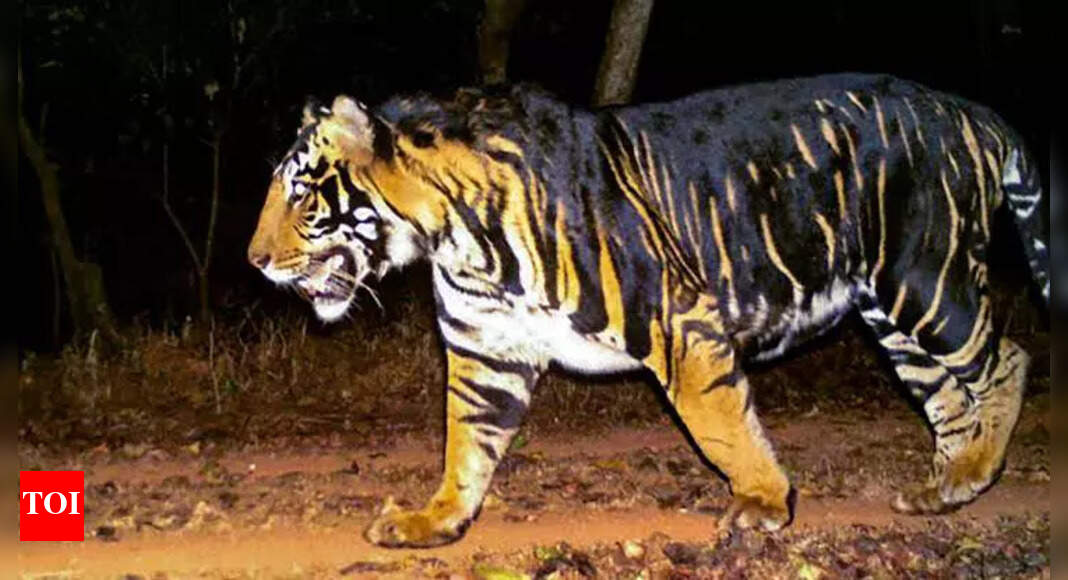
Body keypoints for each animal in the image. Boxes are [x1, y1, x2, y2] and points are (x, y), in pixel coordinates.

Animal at [247, 73, 1048, 548]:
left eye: (301, 193)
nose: (254, 261)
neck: (456, 240)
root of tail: (969, 108)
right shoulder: (486, 352)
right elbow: (466, 444)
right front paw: (434, 520)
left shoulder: (679, 323)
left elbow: (723, 427)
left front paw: (764, 503)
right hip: (893, 317)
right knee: (949, 397)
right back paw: (948, 489)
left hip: (926, 280)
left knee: (1006, 359)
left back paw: (975, 469)